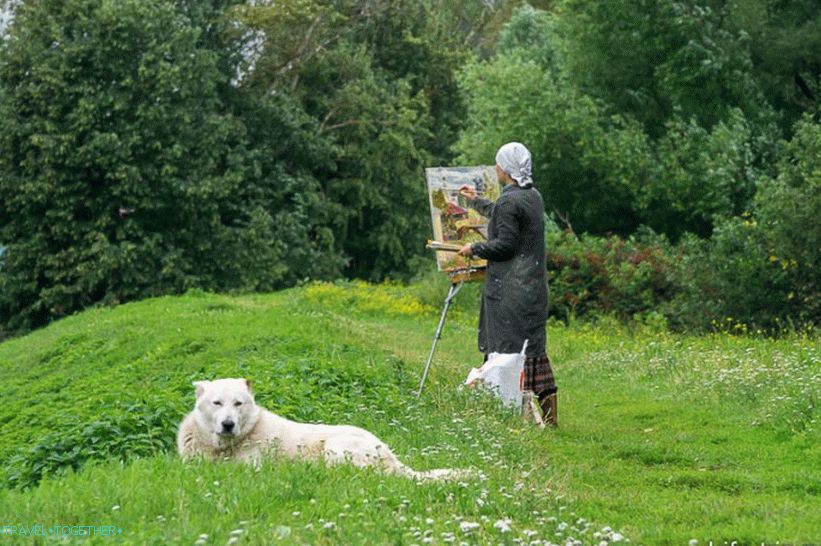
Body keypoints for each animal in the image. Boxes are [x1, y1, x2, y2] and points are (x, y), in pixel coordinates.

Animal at [176, 376, 470, 478]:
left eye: (238, 403)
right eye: (217, 403)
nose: (228, 424)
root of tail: (390, 455)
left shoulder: (250, 465)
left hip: (336, 447)